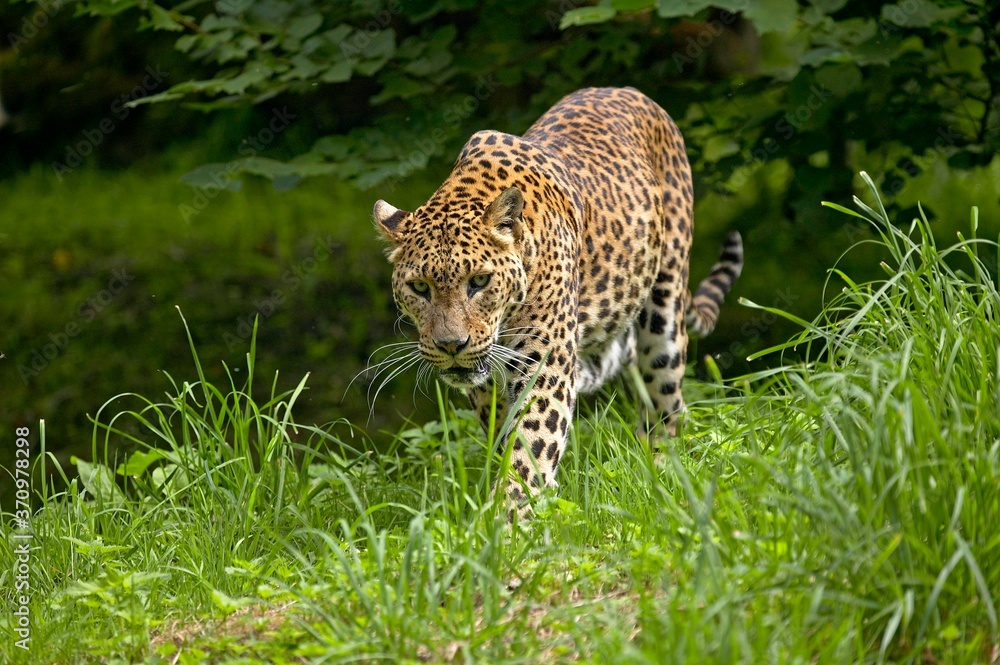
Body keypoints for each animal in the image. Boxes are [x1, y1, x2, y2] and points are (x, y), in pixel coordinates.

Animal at [371, 87, 742, 517]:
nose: (451, 346)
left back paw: (662, 473)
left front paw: (506, 520)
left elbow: (529, 446)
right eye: (419, 288)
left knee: (666, 407)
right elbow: (505, 441)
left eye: (479, 281)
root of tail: (627, 91)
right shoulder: (489, 387)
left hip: (664, 310)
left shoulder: (544, 368)